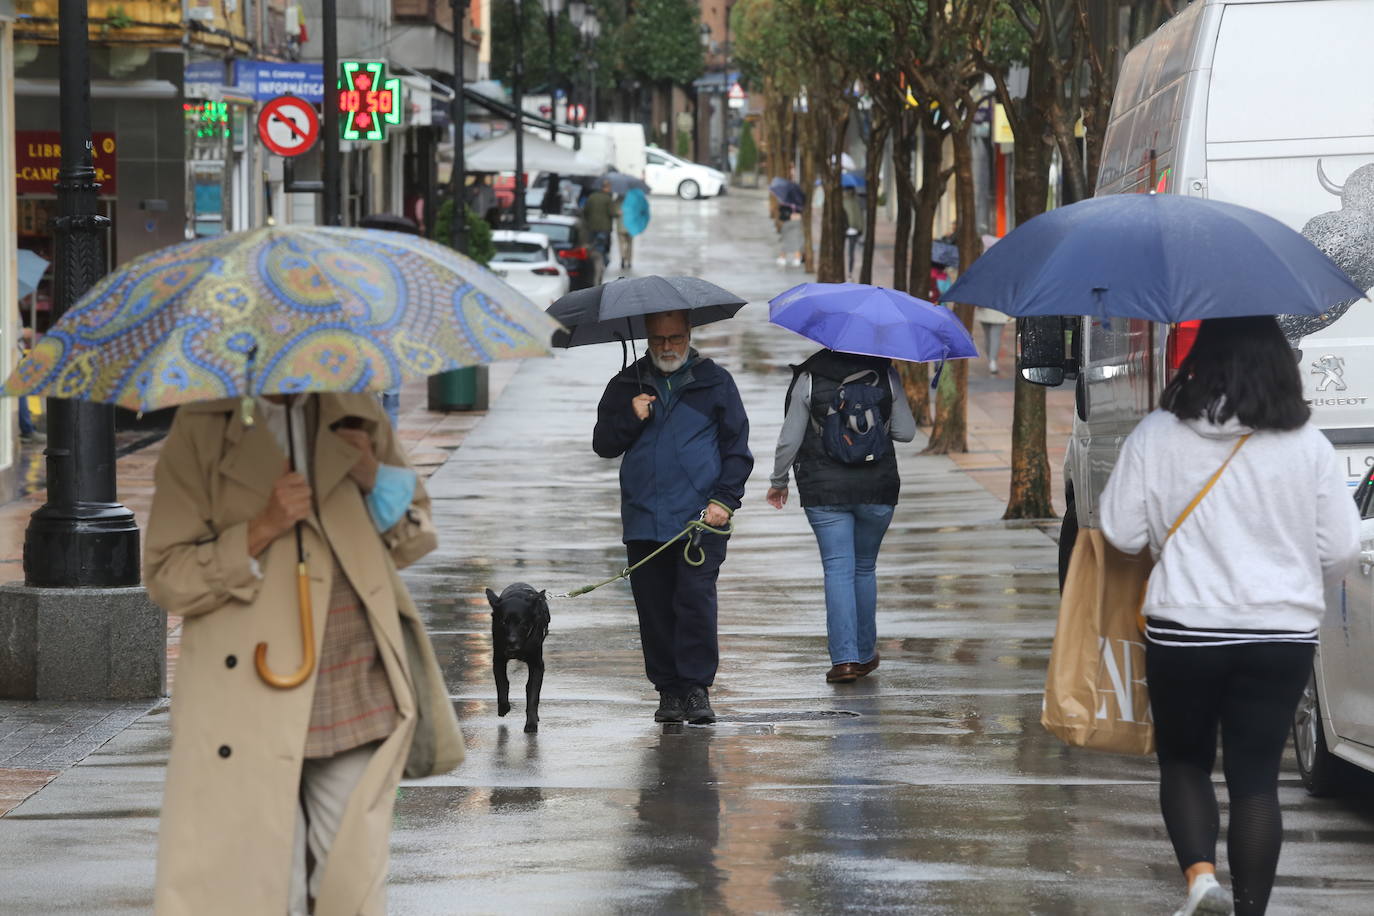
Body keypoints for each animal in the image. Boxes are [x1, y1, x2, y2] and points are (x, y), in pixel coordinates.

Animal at [483, 590, 546, 736]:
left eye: (521, 622)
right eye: (503, 622)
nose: (511, 642)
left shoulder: (537, 666)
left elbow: (533, 695)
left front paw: (531, 724)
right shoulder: (498, 660)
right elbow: (502, 683)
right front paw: (504, 707)